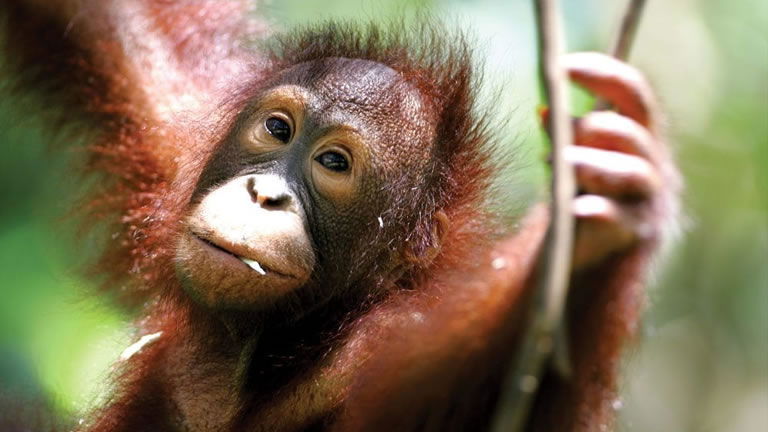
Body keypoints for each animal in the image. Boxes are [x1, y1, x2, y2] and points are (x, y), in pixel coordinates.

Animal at [0, 1, 679, 431]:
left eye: (333, 162)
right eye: (278, 129)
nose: (264, 195)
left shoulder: (385, 344)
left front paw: (604, 227)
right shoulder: (175, 132)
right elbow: (106, 19)